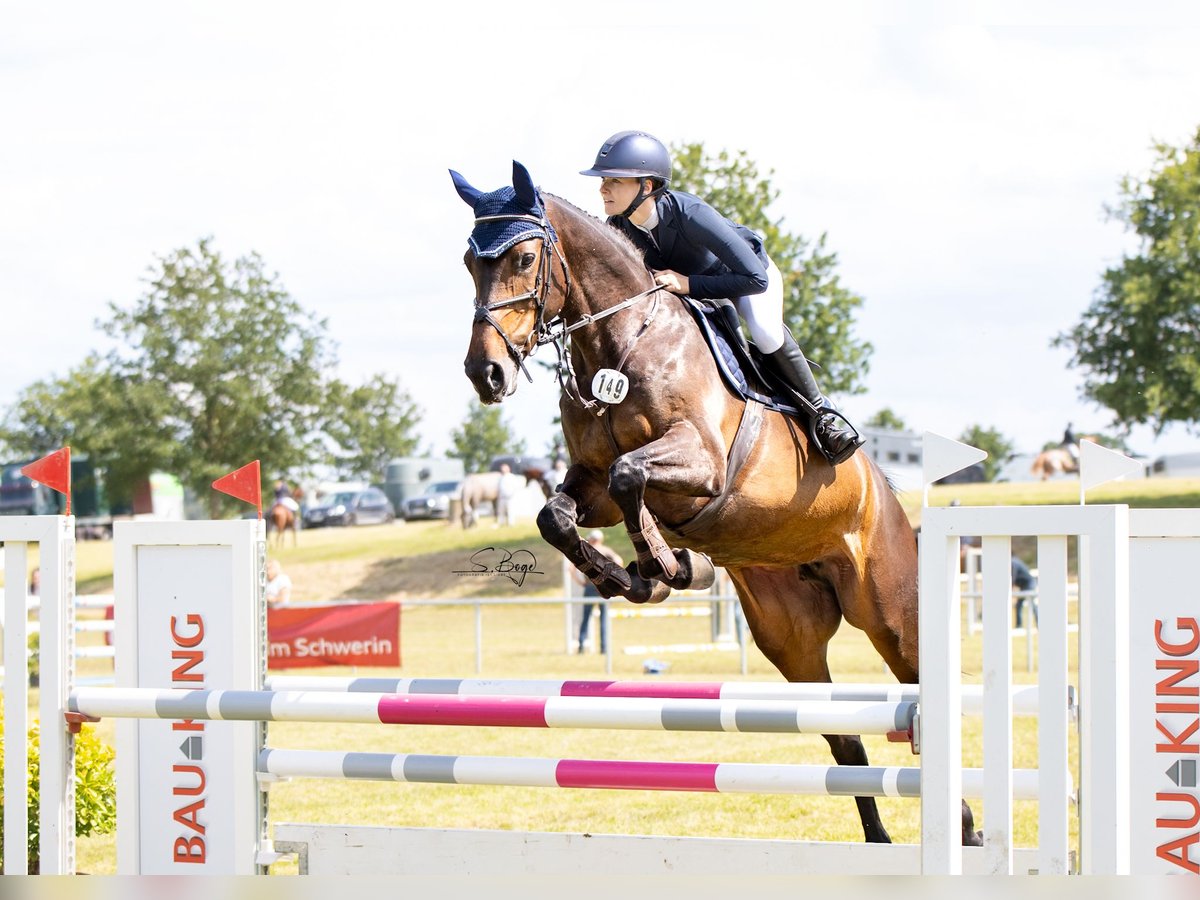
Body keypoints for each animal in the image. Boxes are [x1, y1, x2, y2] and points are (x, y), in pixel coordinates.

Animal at [451, 162, 984, 844]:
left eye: (522, 257)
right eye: (470, 261)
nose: (485, 374)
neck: (623, 339)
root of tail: (885, 499)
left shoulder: (701, 462)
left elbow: (630, 477)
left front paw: (666, 566)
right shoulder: (590, 484)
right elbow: (559, 515)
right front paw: (635, 577)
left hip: (889, 609)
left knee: (916, 685)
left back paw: (964, 826)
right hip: (789, 635)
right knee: (843, 740)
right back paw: (879, 840)